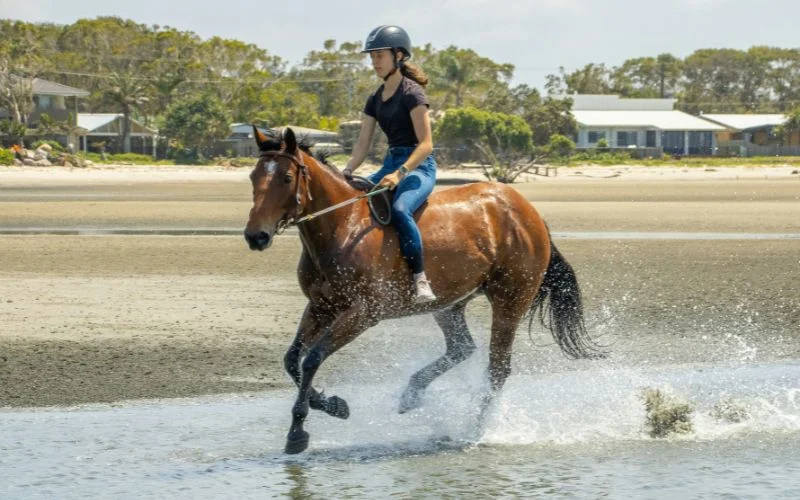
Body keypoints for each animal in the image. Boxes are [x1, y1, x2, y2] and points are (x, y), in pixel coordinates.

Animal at [244, 127, 600, 454]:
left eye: (287, 177)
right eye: (253, 176)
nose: (255, 236)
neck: (342, 226)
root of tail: (528, 211)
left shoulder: (362, 313)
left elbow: (312, 359)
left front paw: (299, 431)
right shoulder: (320, 307)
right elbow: (292, 360)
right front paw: (332, 405)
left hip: (509, 300)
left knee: (497, 369)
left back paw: (476, 430)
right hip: (449, 304)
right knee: (461, 348)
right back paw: (412, 395)